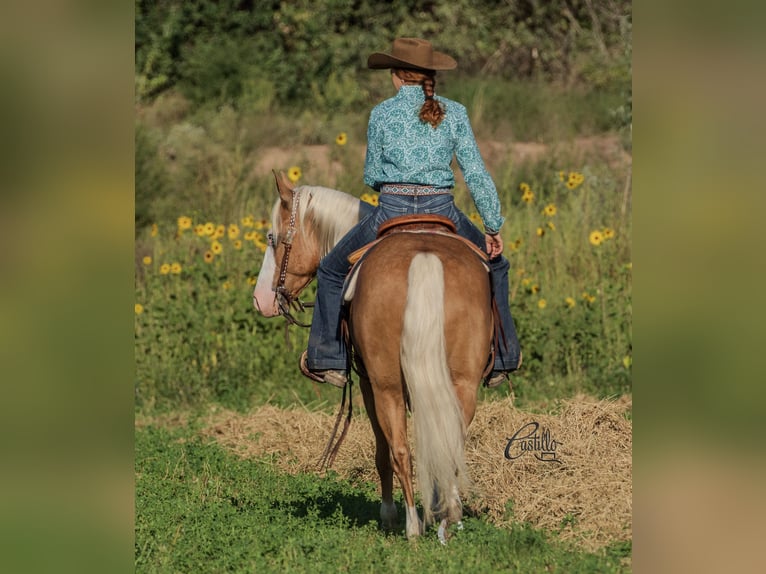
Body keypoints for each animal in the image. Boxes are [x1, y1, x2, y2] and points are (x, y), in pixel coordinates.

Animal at [252, 171, 492, 544]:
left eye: (272, 238)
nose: (260, 299)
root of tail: (423, 256)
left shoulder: (367, 382)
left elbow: (382, 451)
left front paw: (388, 515)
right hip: (463, 383)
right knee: (449, 444)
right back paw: (445, 521)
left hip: (386, 385)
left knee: (400, 451)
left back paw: (411, 526)